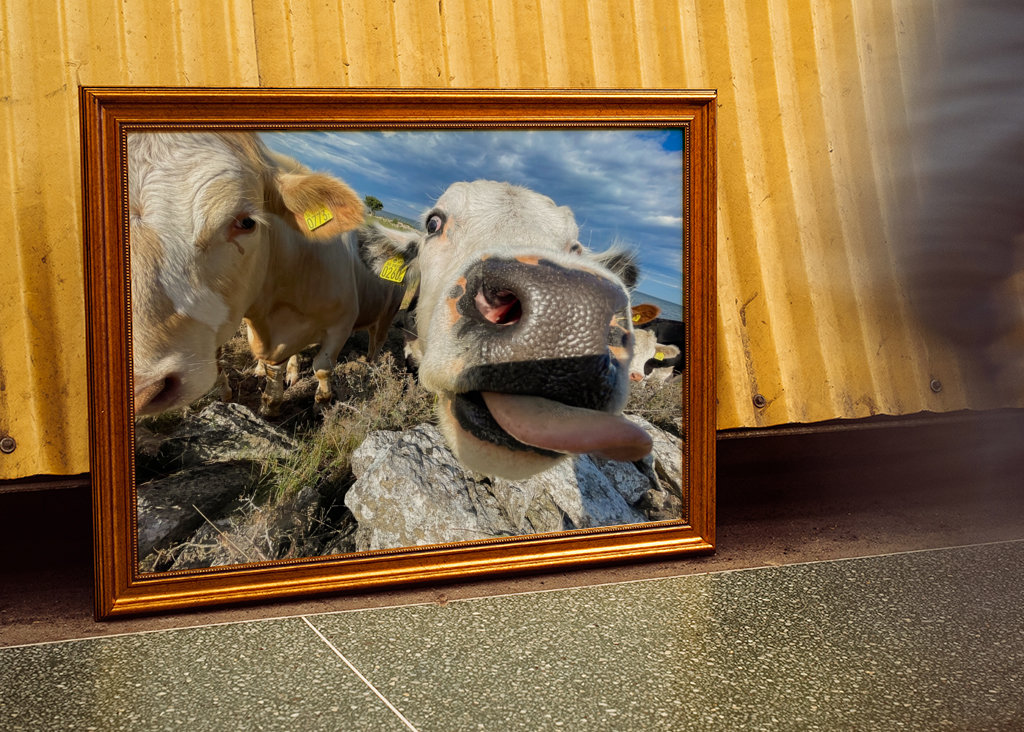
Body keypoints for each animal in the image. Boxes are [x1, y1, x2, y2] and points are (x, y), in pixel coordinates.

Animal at [128, 132, 372, 416]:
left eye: (247, 222)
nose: (143, 390)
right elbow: (267, 368)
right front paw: (266, 403)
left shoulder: (342, 323)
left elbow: (322, 368)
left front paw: (320, 407)